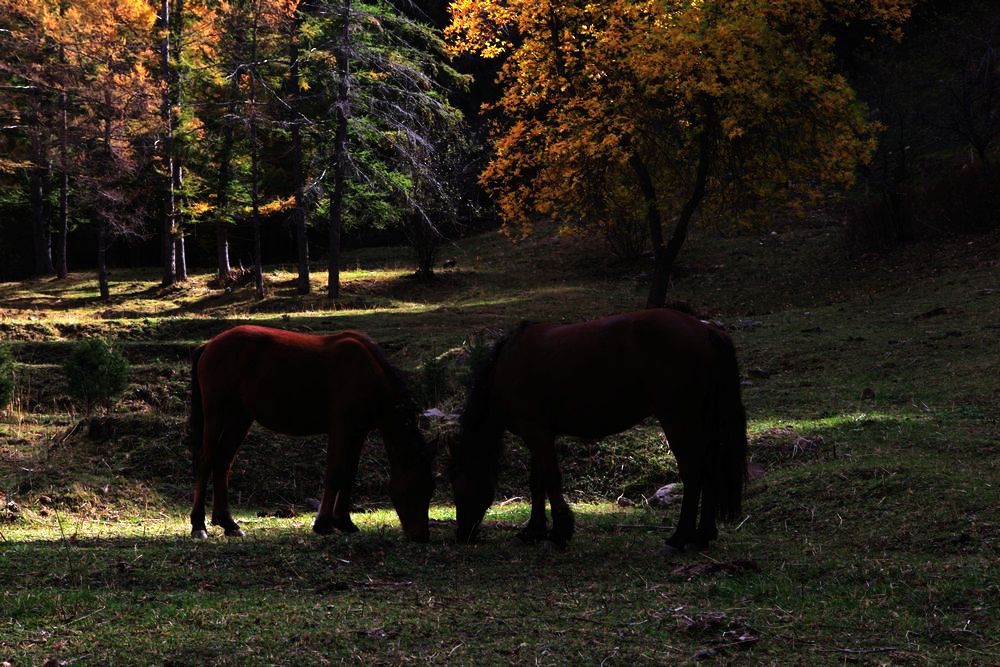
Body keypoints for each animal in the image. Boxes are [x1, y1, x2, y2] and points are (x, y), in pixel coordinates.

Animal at [191, 324, 434, 544]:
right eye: (414, 487)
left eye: (429, 489)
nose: (421, 536)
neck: (368, 372)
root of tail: (209, 345)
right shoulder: (341, 429)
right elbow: (335, 473)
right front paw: (324, 523)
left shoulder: (358, 432)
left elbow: (349, 474)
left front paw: (345, 522)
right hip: (217, 414)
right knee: (206, 462)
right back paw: (198, 525)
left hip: (239, 418)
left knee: (222, 462)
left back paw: (228, 524)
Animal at [450, 310, 748, 552]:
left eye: (458, 484)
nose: (463, 534)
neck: (507, 364)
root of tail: (705, 330)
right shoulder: (539, 434)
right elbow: (538, 483)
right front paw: (533, 531)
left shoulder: (536, 433)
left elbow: (551, 480)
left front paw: (558, 534)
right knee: (710, 471)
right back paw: (702, 537)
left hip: (679, 422)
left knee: (693, 473)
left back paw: (678, 539)